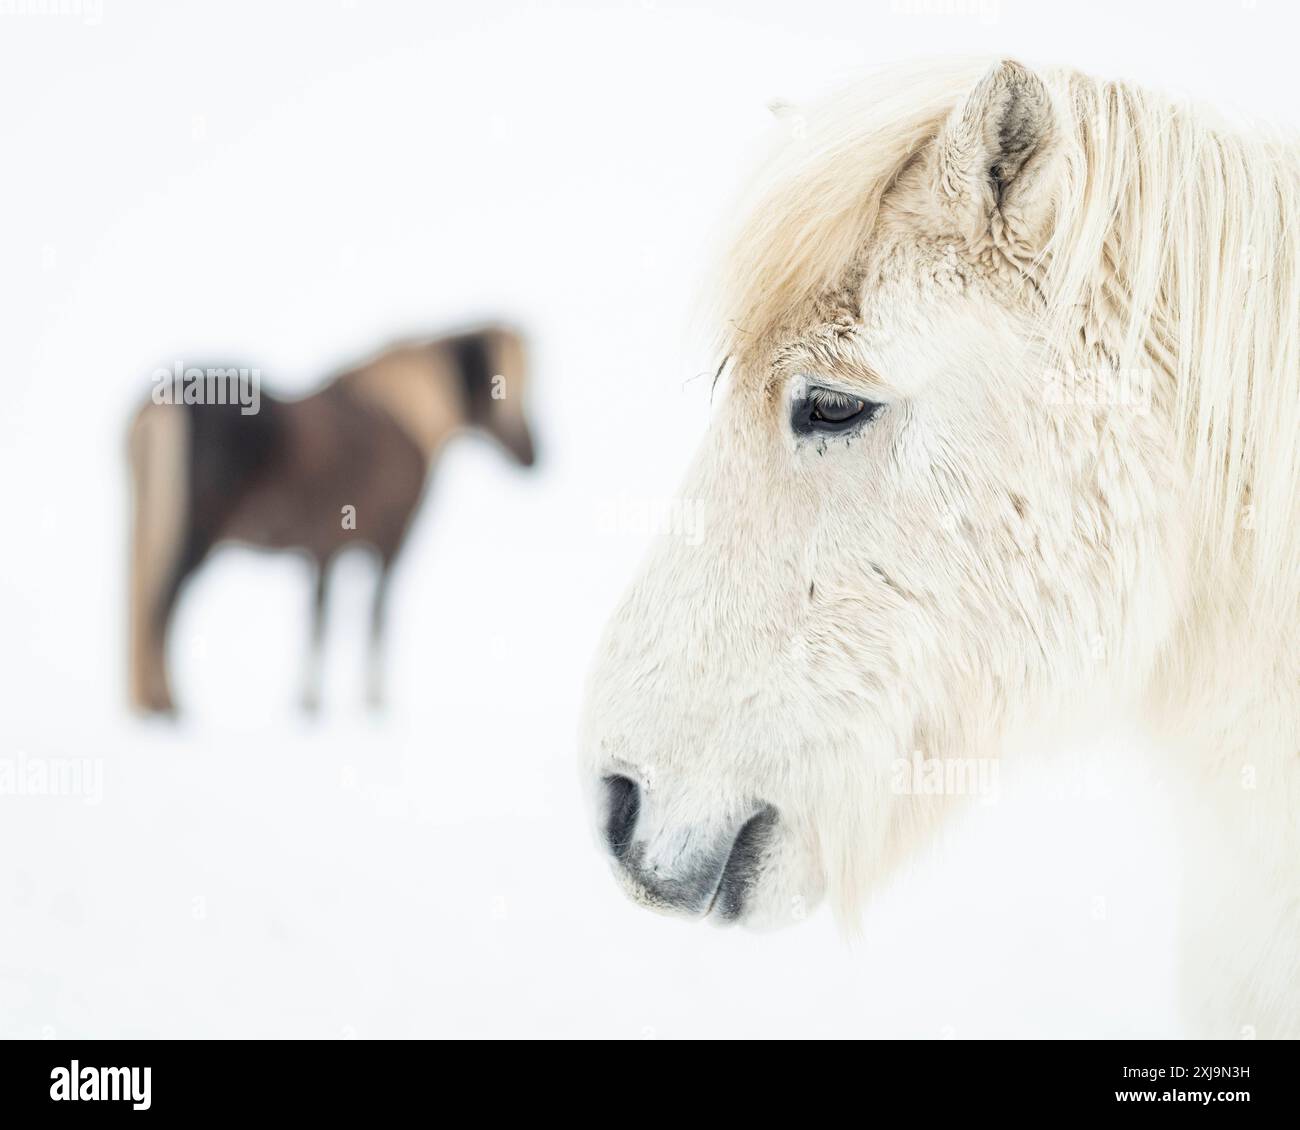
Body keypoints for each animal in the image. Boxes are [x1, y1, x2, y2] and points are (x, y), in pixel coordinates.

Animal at [129, 322, 535, 707]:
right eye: (507, 386)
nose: (535, 455)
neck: (403, 413)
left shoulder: (325, 548)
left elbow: (319, 616)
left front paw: (311, 703)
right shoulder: (390, 543)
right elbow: (372, 616)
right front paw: (370, 701)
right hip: (195, 533)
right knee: (161, 610)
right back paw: (170, 704)